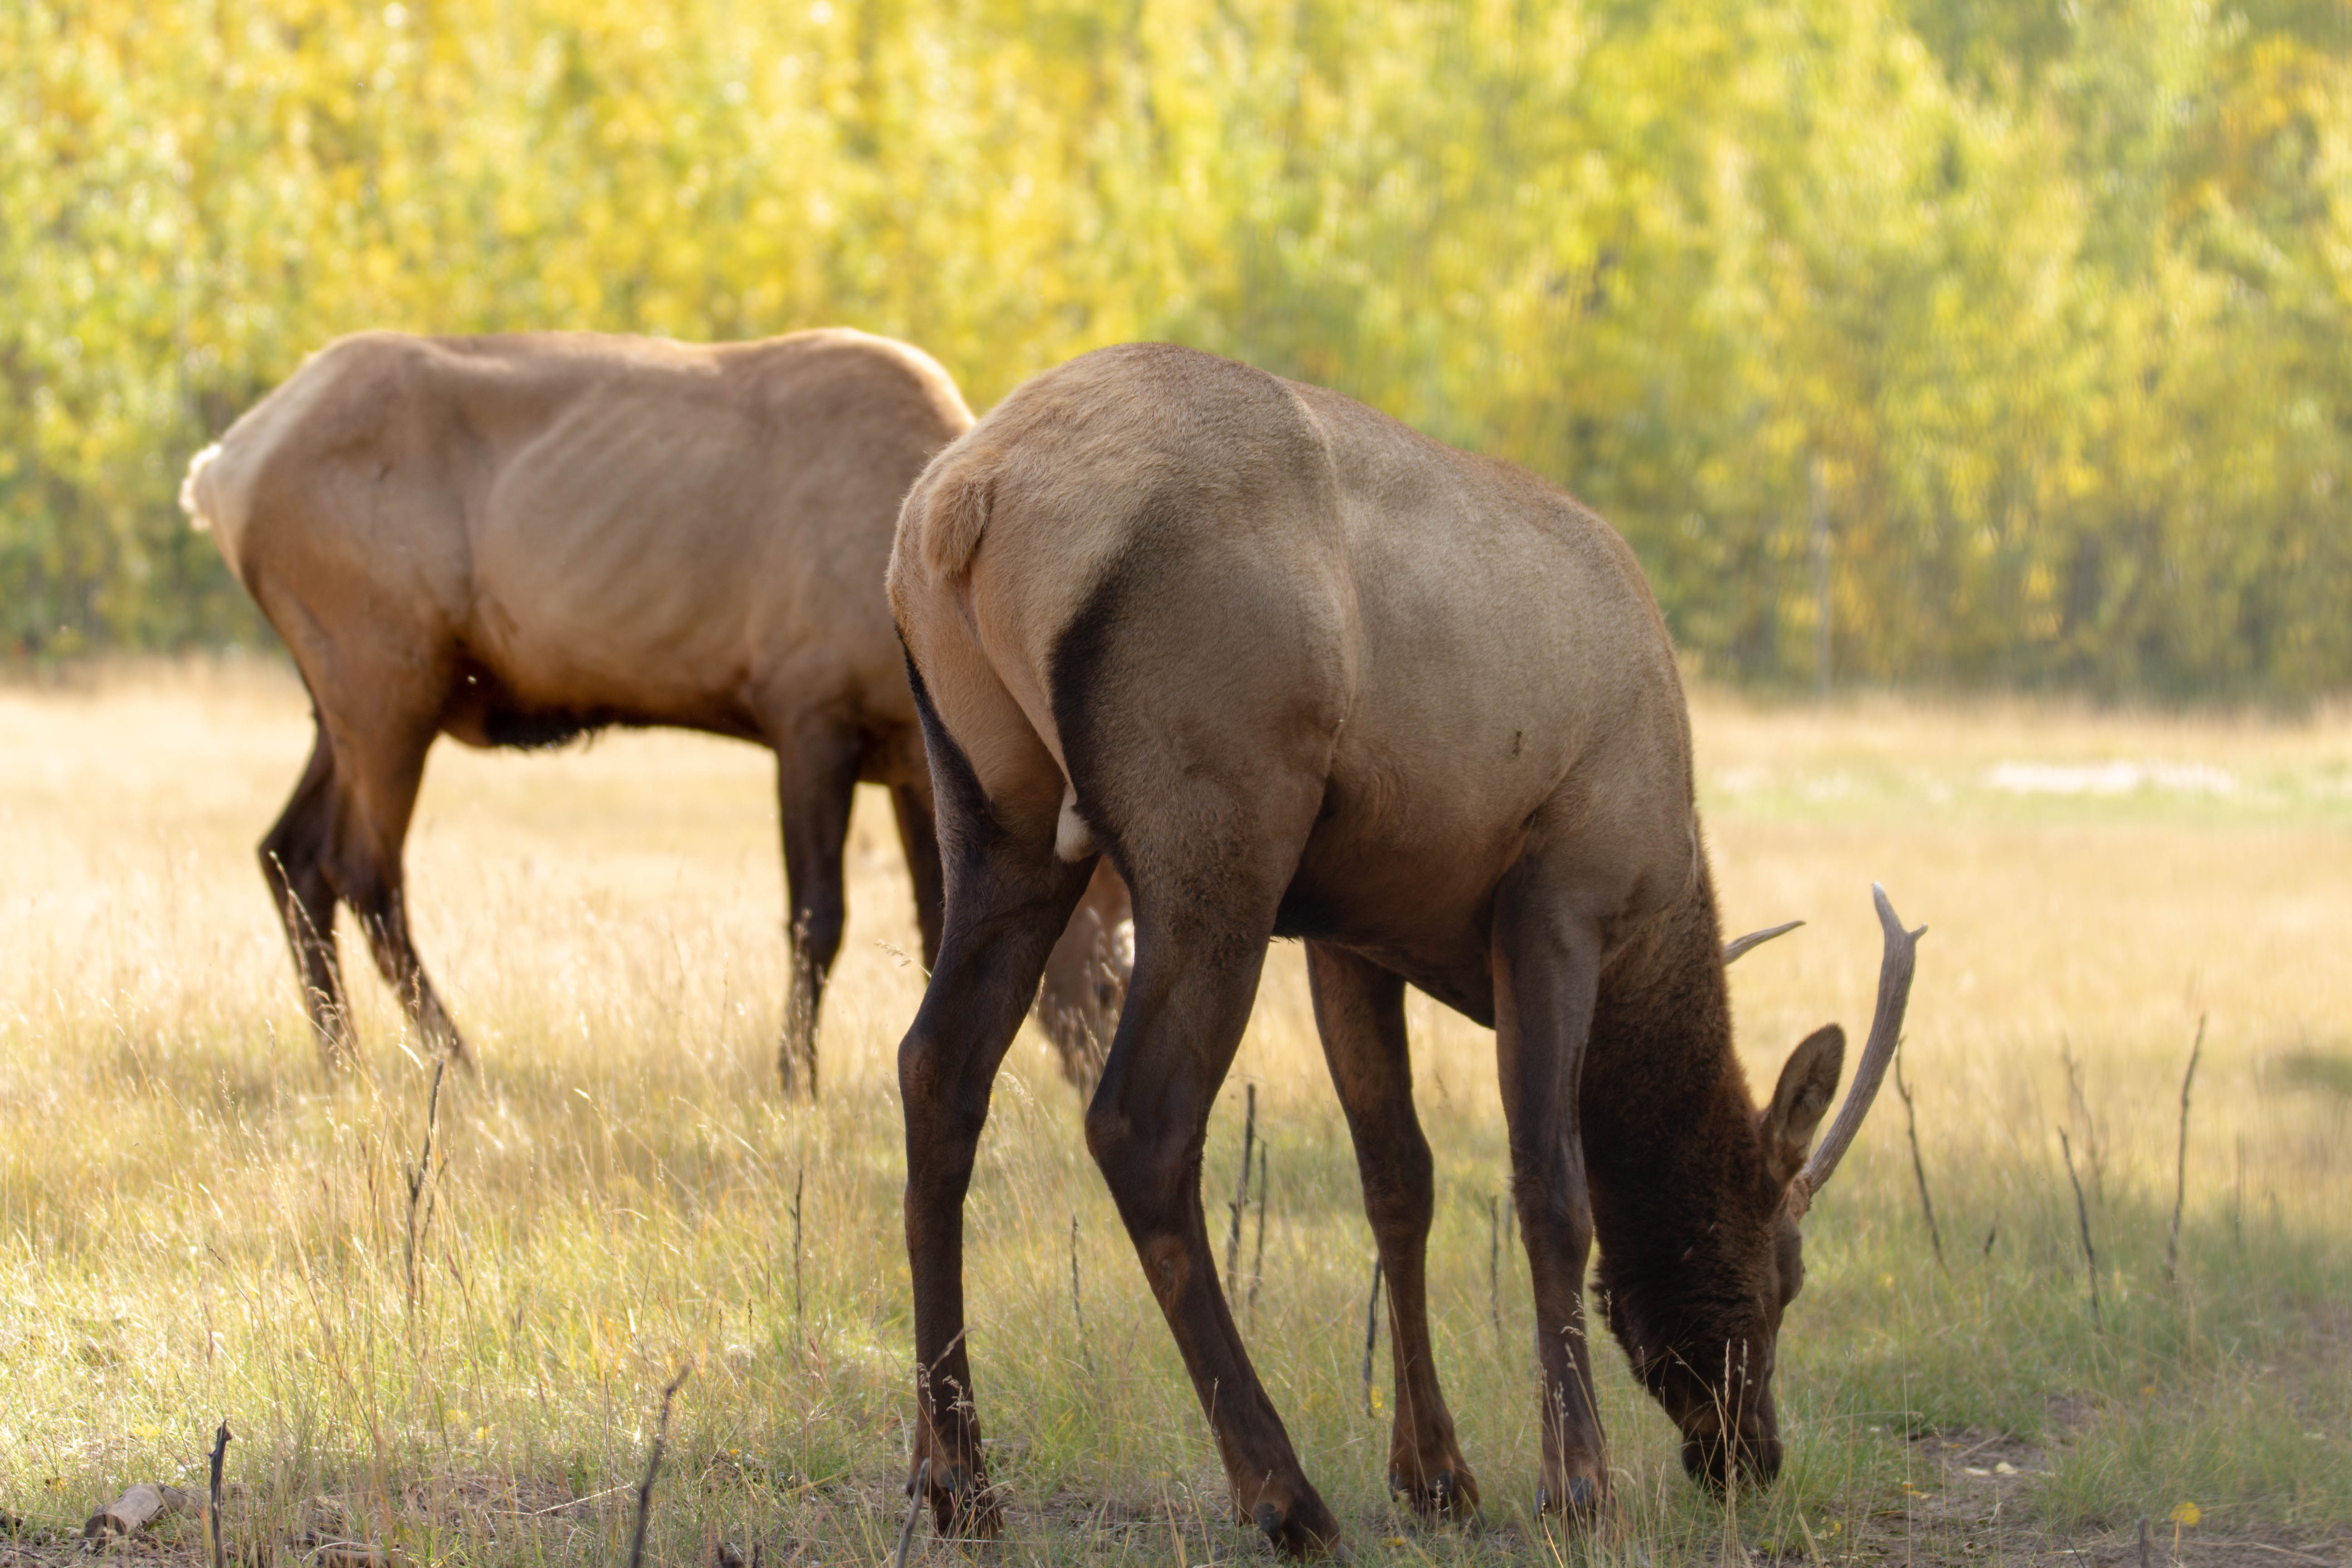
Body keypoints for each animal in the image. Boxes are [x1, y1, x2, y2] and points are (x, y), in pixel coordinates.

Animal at [182, 328, 1130, 1094]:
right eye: (1110, 979)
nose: (1096, 1079)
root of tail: (220, 471)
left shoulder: (906, 756)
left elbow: (934, 924)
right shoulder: (807, 714)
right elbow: (816, 918)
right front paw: (795, 1081)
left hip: (341, 699)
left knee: (289, 851)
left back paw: (341, 1061)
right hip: (384, 679)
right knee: (362, 869)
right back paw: (456, 1058)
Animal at [884, 342, 1922, 1554]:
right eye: (1783, 1271)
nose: (1749, 1453)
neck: (1662, 900)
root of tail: (965, 504)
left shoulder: (1349, 930)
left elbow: (1400, 1179)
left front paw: (1435, 1472)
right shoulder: (1559, 893)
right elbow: (1550, 1183)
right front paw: (1576, 1483)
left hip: (993, 811)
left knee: (936, 1070)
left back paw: (958, 1478)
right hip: (1217, 824)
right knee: (1139, 1121)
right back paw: (1284, 1494)